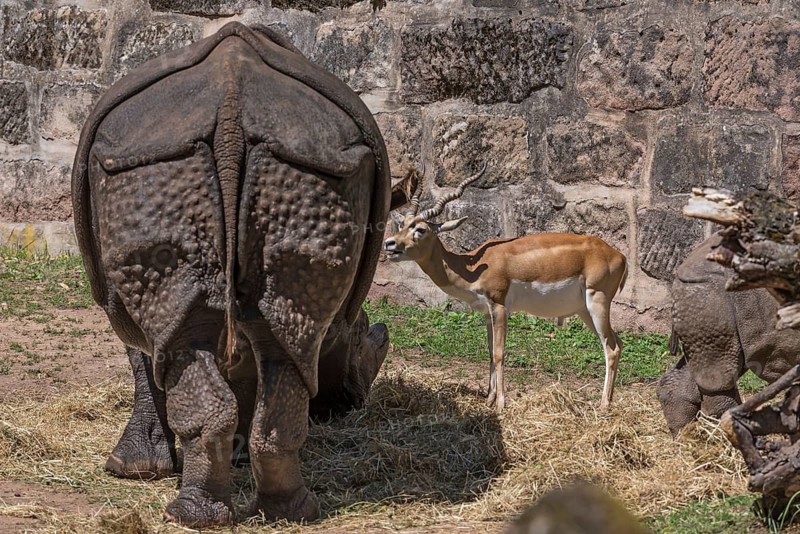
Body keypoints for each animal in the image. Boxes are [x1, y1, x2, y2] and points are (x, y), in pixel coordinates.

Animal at [72, 22, 399, 527]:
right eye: (362, 332)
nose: (353, 401)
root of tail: (229, 108)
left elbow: (149, 358)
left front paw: (131, 469)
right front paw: (140, 468)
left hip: (156, 166)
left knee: (205, 341)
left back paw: (197, 515)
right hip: (301, 169)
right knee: (286, 337)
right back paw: (287, 513)